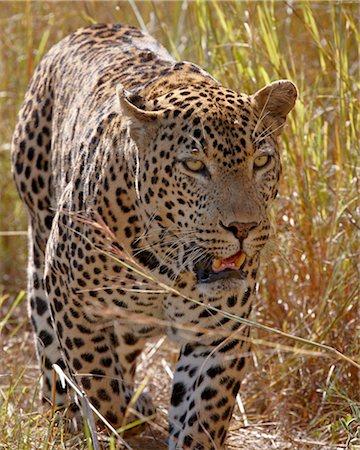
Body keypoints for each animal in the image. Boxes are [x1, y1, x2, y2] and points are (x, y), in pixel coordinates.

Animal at [12, 24, 296, 450]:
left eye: (260, 161)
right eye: (194, 165)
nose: (243, 228)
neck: (170, 266)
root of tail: (88, 27)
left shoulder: (221, 333)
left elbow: (202, 418)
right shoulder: (76, 304)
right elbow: (100, 388)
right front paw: (113, 421)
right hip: (41, 245)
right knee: (50, 348)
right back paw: (63, 413)